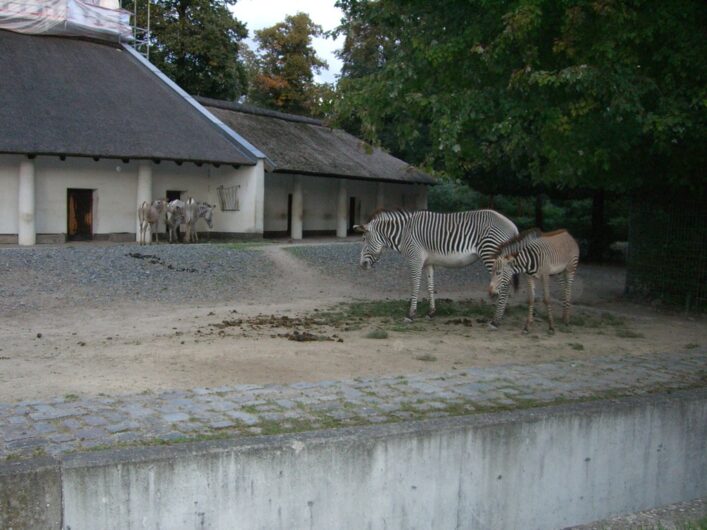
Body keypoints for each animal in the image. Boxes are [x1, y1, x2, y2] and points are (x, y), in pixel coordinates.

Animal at [356, 208, 516, 320]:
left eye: (364, 239)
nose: (361, 265)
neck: (404, 233)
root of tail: (512, 226)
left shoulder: (415, 259)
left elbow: (415, 285)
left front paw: (411, 314)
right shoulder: (428, 263)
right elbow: (430, 287)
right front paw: (431, 312)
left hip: (491, 255)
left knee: (505, 285)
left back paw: (496, 320)